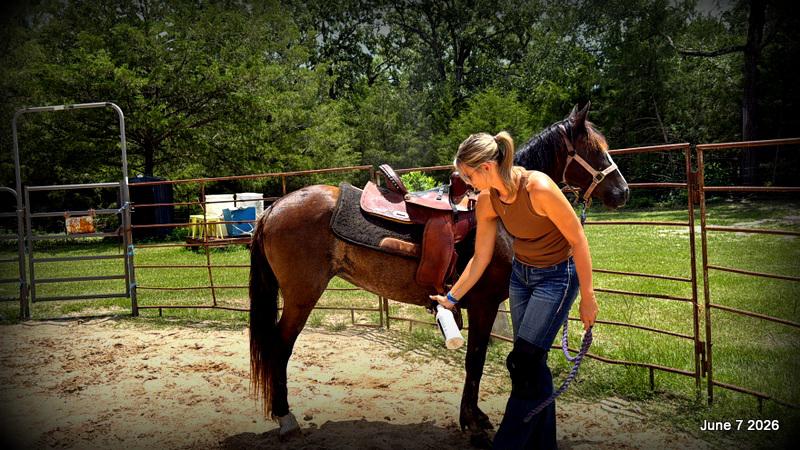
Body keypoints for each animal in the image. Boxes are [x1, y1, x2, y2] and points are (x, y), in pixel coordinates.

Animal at [248, 102, 628, 444]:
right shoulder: (484, 305)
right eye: (595, 149)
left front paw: (475, 418)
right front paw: (472, 424)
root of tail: (273, 209)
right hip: (302, 296)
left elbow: (477, 360)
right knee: (279, 347)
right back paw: (286, 419)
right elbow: (475, 360)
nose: (622, 191)